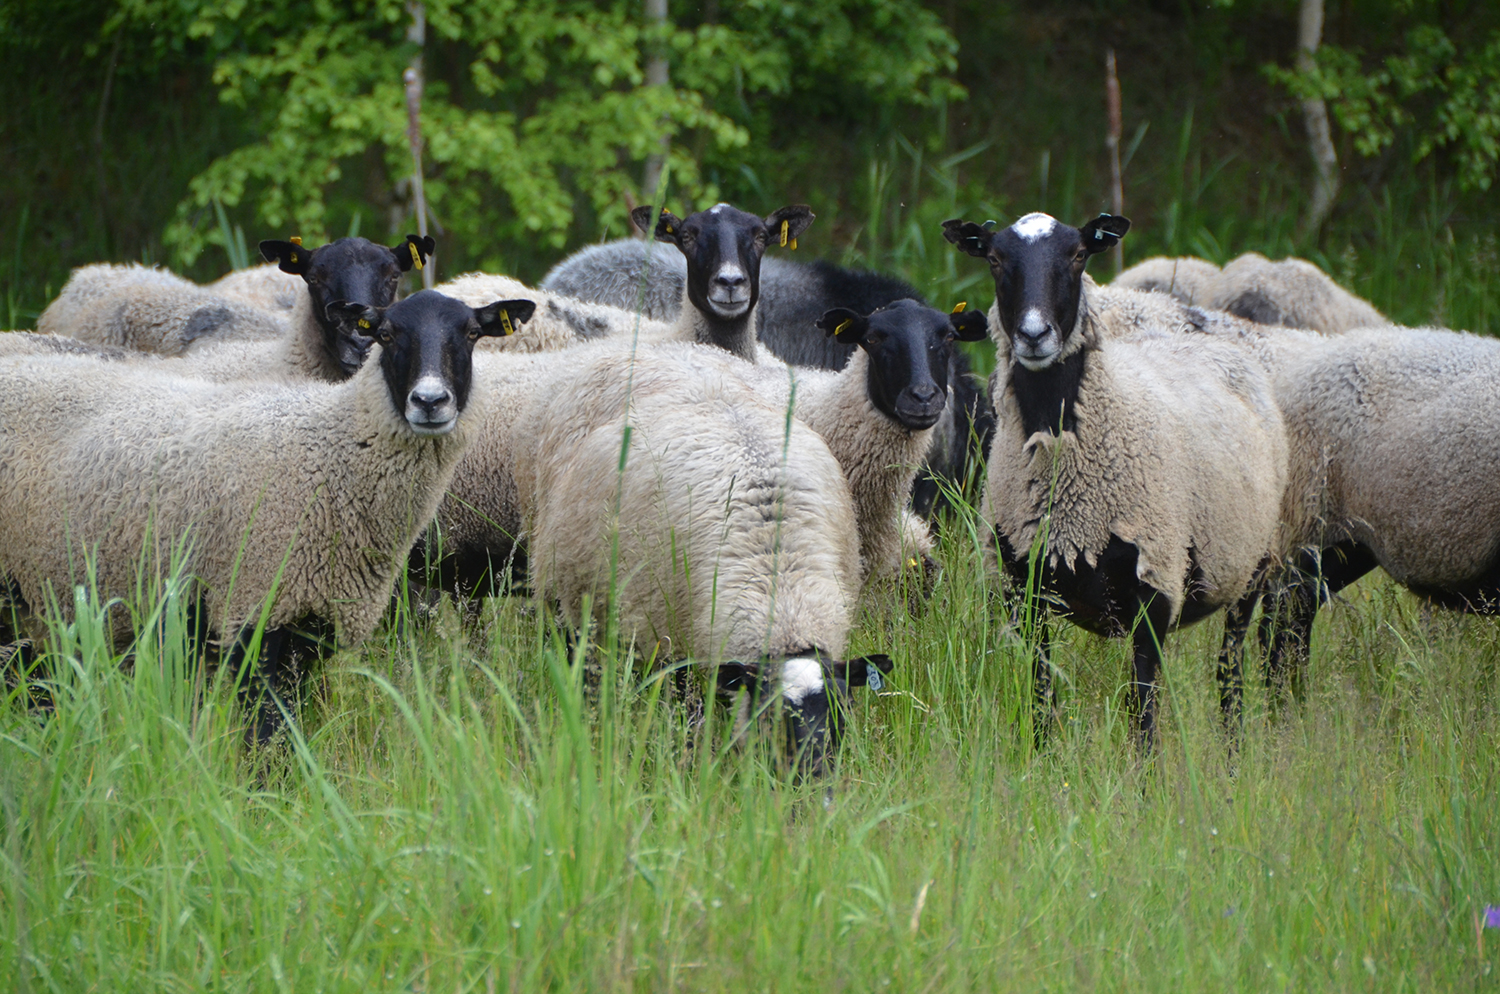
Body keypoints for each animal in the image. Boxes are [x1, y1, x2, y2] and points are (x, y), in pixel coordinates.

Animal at [0, 283, 537, 743]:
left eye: (471, 334)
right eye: (385, 335)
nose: (429, 401)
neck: (331, 449)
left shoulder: (311, 625)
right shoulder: (255, 611)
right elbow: (270, 739)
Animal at [948, 211, 1290, 755]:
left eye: (1078, 256)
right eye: (996, 259)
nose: (1033, 334)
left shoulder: (1155, 586)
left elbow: (1141, 711)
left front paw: (1144, 776)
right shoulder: (1022, 592)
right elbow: (1041, 696)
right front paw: (1042, 765)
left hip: (1252, 565)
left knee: (1230, 672)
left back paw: (1235, 756)